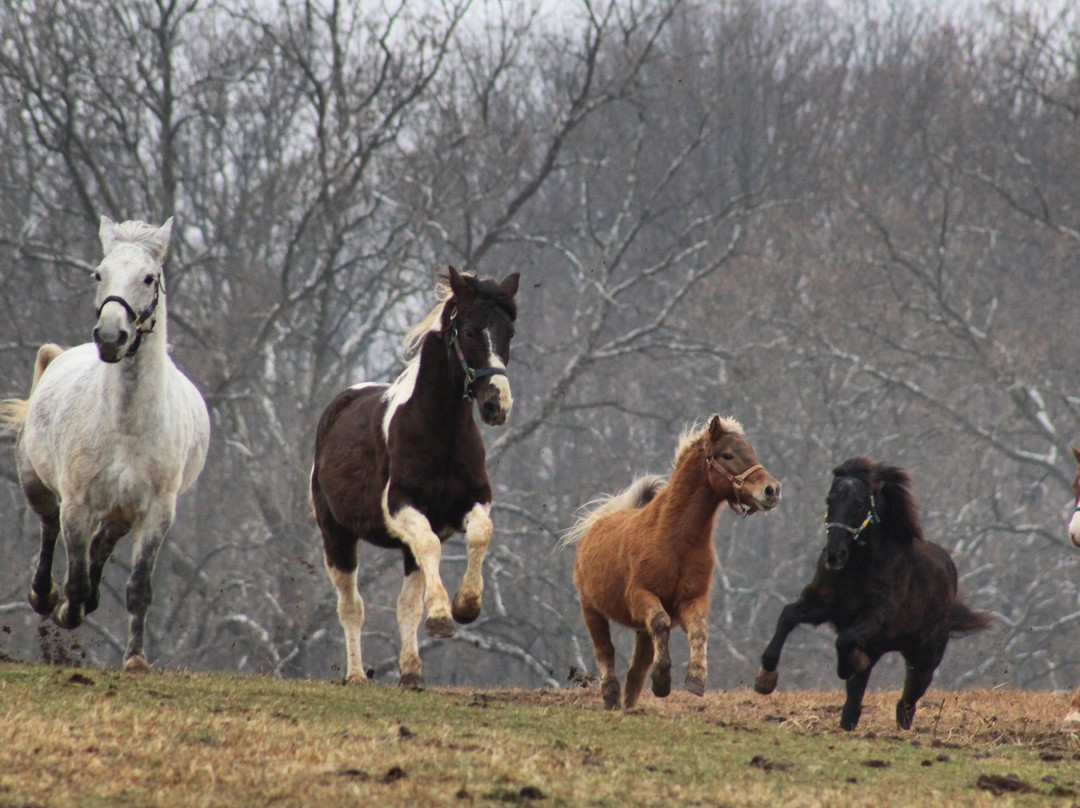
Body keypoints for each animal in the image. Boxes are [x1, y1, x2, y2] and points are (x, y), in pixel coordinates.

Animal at [1, 214, 210, 669]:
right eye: (99, 273)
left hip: (120, 513)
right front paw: (66, 609)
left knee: (102, 545)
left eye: (149, 278)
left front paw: (135, 659)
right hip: (36, 483)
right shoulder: (78, 504)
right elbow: (76, 579)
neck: (125, 428)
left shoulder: (156, 513)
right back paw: (44, 596)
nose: (111, 336)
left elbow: (138, 588)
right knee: (48, 526)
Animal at [313, 267, 518, 687]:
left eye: (508, 332)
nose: (497, 405)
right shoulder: (402, 507)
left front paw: (466, 605)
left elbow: (480, 534)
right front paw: (441, 616)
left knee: (405, 602)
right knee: (351, 606)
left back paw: (411, 672)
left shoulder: (473, 501)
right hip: (336, 536)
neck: (441, 432)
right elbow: (431, 547)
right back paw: (356, 675)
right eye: (469, 331)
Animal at [756, 458, 989, 730]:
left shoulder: (878, 616)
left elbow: (845, 639)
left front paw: (849, 664)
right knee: (855, 706)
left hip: (925, 657)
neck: (857, 568)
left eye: (859, 504)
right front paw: (766, 677)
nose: (834, 555)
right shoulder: (822, 603)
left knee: (906, 703)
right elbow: (788, 615)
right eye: (829, 500)